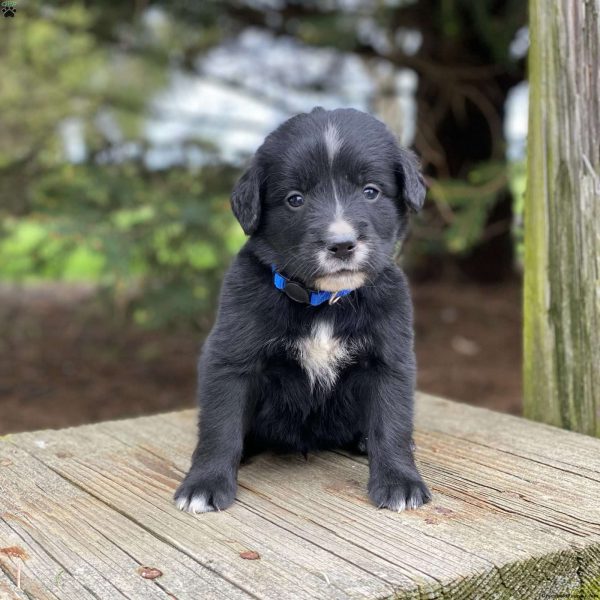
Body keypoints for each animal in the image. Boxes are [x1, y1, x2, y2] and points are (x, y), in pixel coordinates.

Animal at [173, 106, 432, 510]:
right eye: (295, 199)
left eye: (371, 191)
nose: (341, 245)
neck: (323, 303)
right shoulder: (231, 358)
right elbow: (220, 425)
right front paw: (204, 483)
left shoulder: (389, 359)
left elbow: (392, 423)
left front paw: (399, 481)